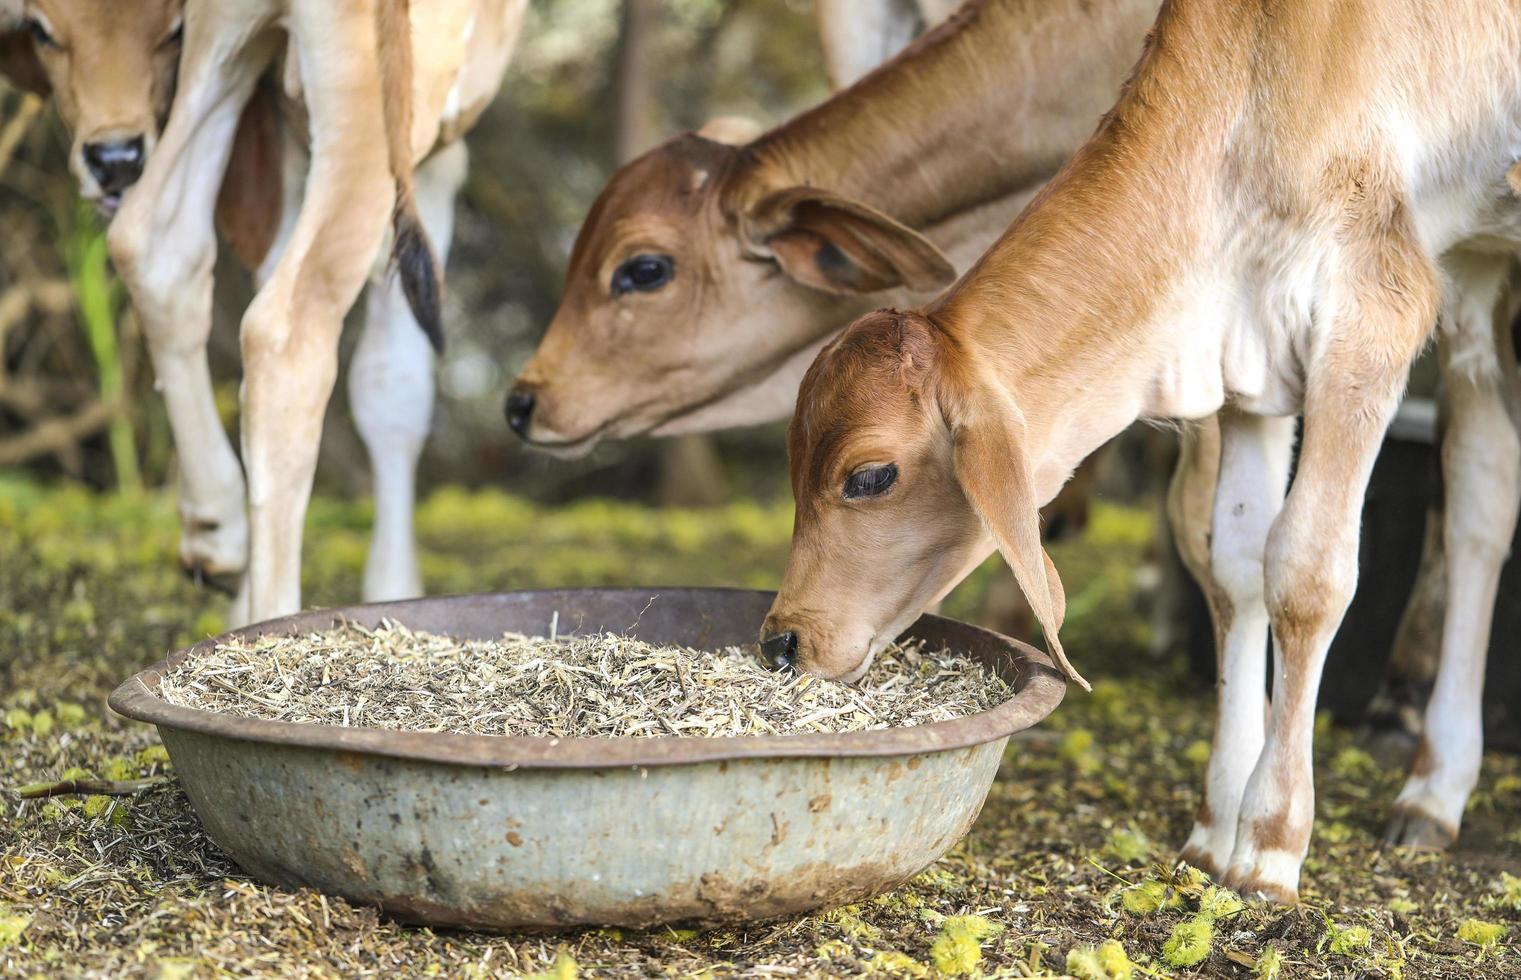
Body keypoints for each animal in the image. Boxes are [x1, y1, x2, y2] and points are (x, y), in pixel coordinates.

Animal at [772, 0, 1521, 900]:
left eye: (869, 476)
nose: (780, 641)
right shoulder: (1251, 358)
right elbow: (1234, 567)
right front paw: (1214, 825)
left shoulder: (1371, 314)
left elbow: (1305, 574)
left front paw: (1269, 842)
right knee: (1482, 493)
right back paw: (1434, 789)